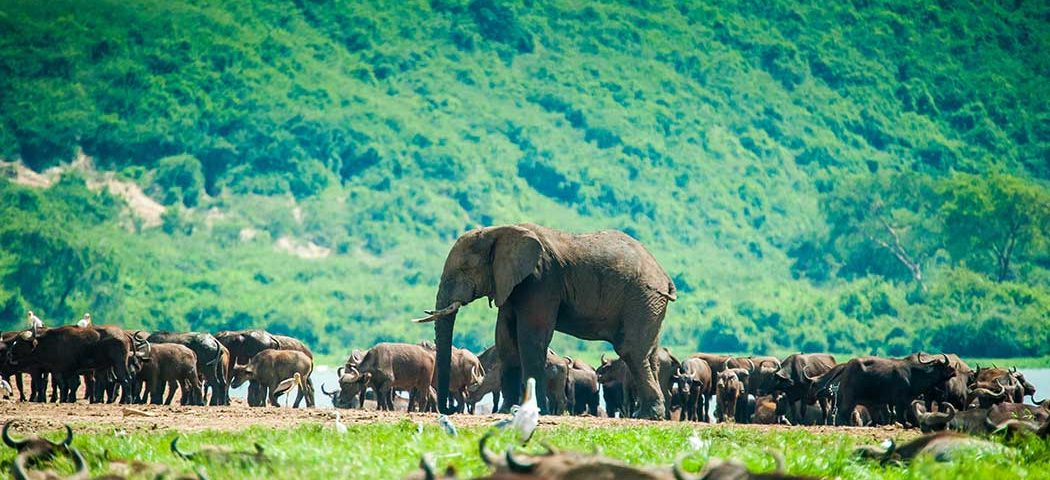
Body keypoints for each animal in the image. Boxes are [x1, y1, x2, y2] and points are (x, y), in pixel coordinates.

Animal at [412, 224, 676, 418]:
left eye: (465, 268)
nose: (447, 410)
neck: (498, 231)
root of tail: (664, 276)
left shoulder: (541, 281)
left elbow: (531, 339)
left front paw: (534, 411)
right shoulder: (511, 285)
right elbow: (506, 342)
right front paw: (507, 411)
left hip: (642, 297)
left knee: (631, 350)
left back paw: (649, 415)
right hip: (649, 303)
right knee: (648, 354)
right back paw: (647, 415)